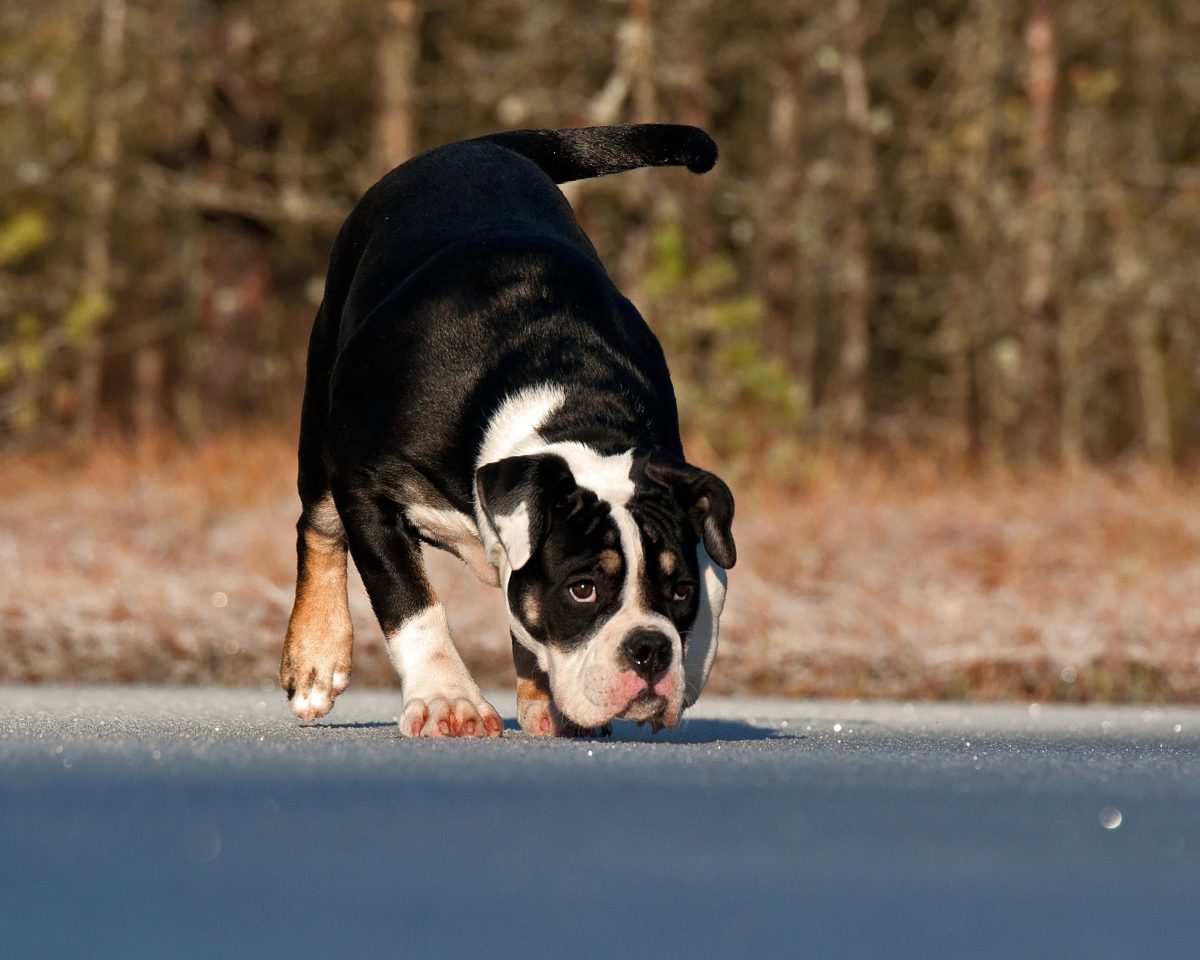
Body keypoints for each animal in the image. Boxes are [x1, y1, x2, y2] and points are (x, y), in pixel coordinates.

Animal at [279, 123, 729, 739]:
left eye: (680, 590)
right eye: (583, 589)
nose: (650, 649)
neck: (568, 405)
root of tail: (476, 145)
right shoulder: (364, 485)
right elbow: (410, 601)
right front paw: (448, 698)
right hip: (323, 400)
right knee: (319, 525)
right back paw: (317, 654)